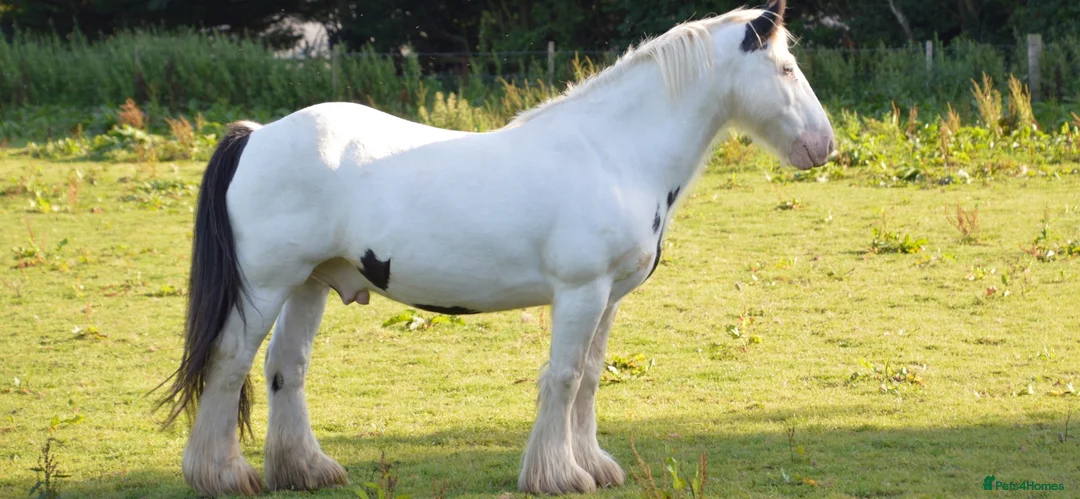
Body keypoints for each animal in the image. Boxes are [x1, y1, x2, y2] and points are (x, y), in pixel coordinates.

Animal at [155, 0, 833, 495]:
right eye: (786, 69)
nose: (823, 145)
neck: (613, 152)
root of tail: (258, 134)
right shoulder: (581, 293)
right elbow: (563, 377)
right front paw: (559, 476)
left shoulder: (609, 298)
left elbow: (590, 378)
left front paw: (594, 465)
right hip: (265, 286)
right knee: (228, 366)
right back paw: (223, 476)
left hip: (310, 284)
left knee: (284, 369)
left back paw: (307, 471)